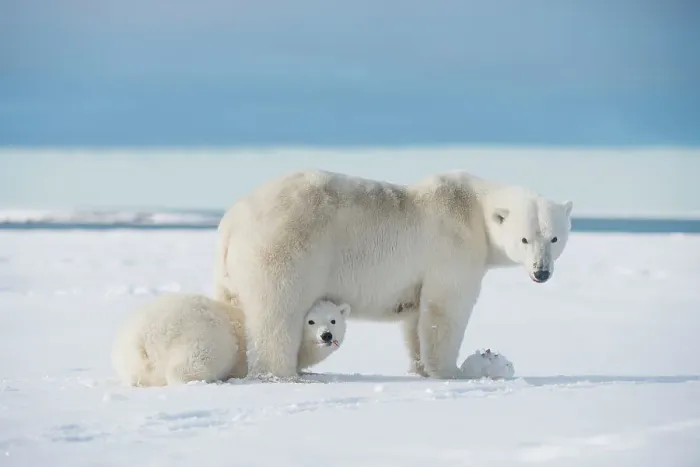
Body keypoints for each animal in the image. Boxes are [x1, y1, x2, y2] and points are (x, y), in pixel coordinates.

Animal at [111, 293, 350, 386]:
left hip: (128, 358)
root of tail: (144, 338)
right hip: (203, 335)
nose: (326, 336)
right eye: (311, 321)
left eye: (333, 320)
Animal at [213, 169, 573, 379]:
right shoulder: (453, 249)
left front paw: (419, 369)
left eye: (554, 238)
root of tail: (232, 221)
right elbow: (446, 310)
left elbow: (416, 320)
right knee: (277, 311)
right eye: (524, 239)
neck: (475, 211)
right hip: (287, 249)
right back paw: (282, 373)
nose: (541, 272)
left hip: (231, 271)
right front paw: (453, 372)